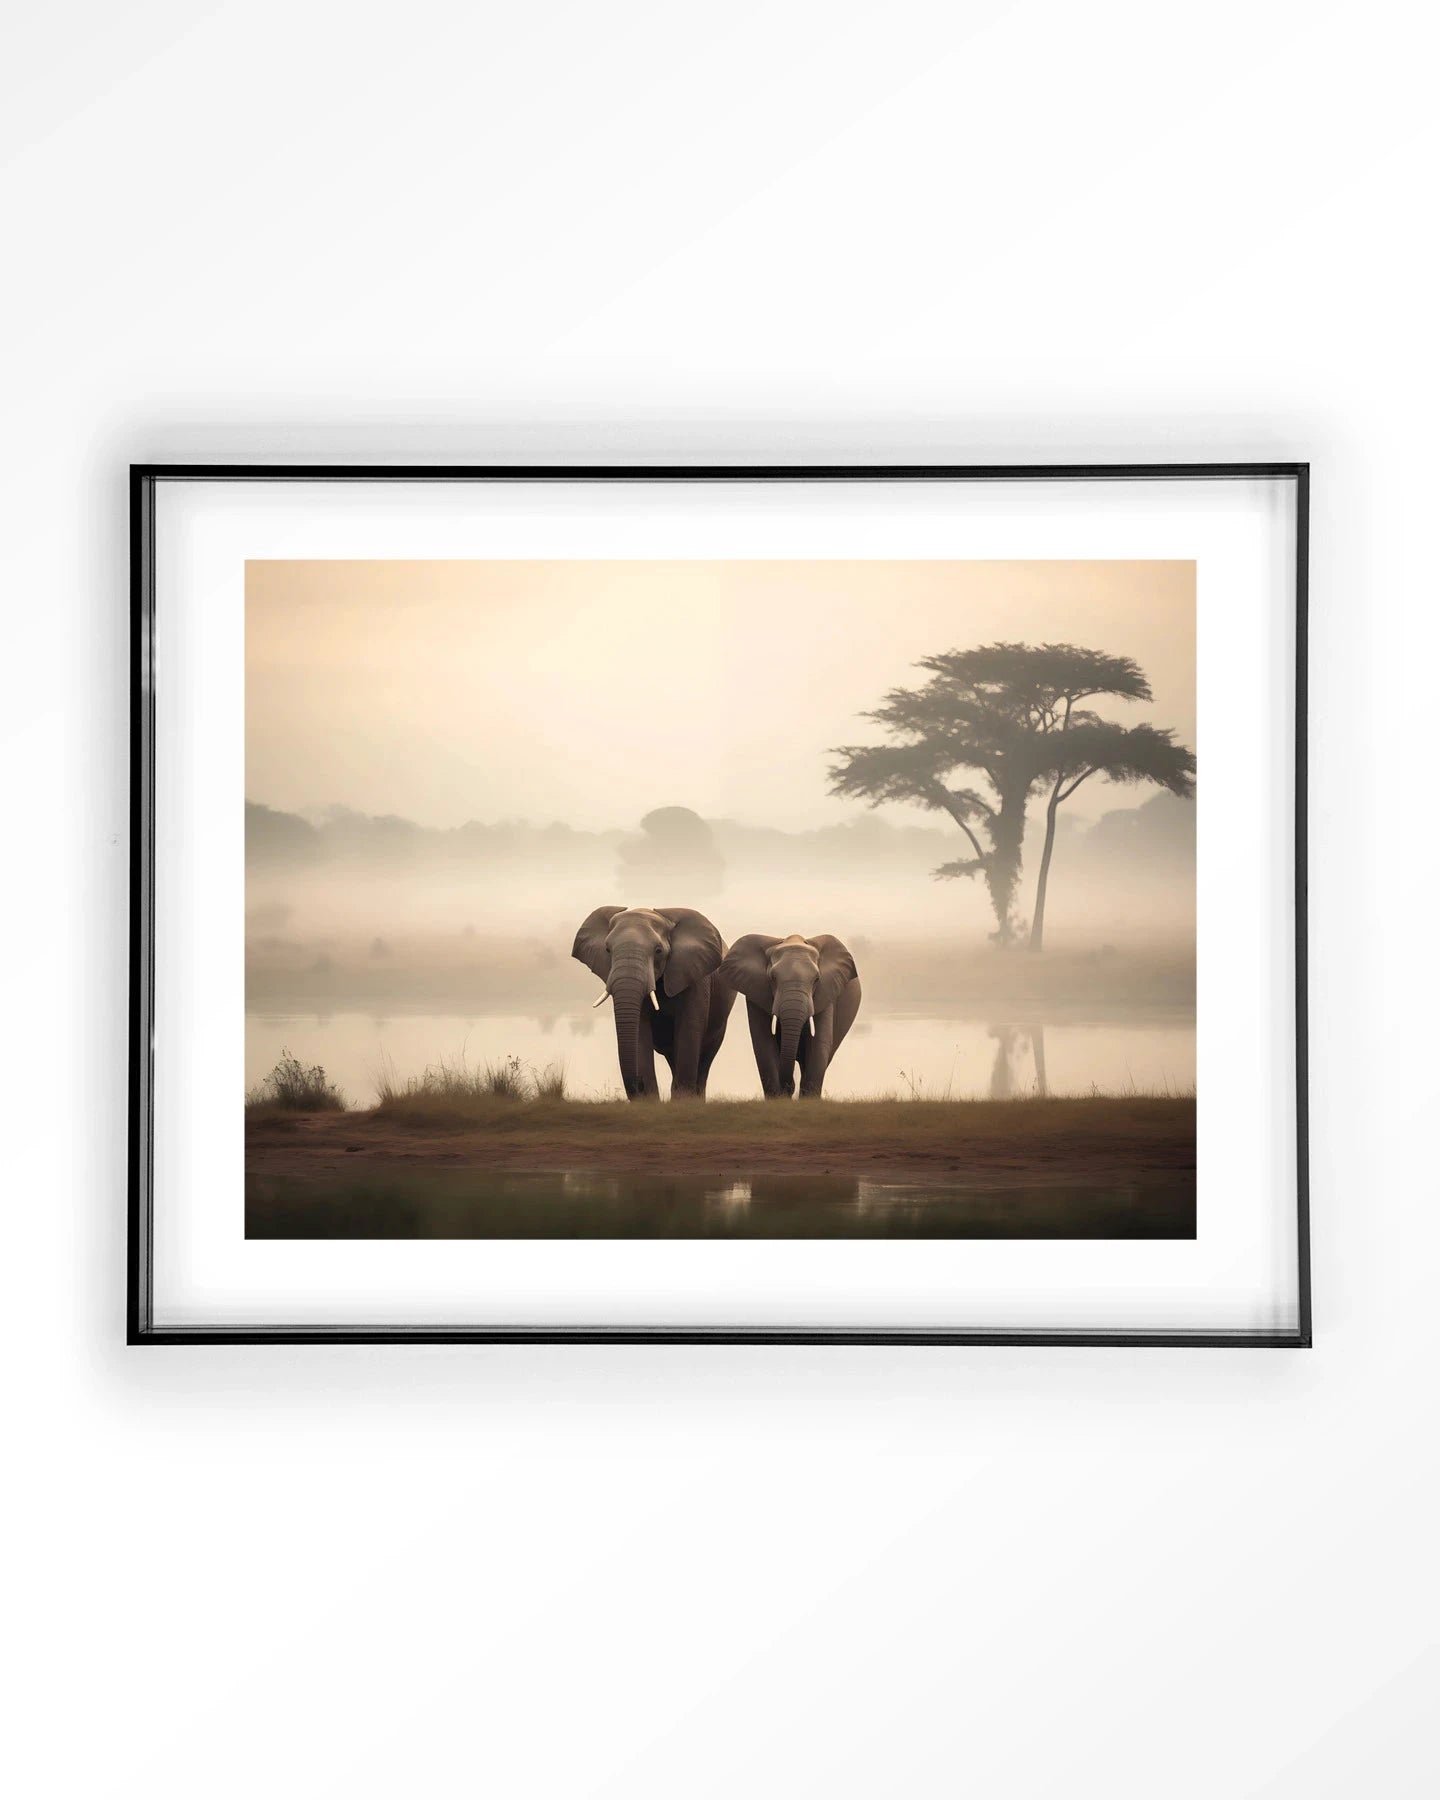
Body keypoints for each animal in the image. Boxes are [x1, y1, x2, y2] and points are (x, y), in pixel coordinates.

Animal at [572, 905, 736, 1100]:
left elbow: (688, 1032)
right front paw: (649, 1100)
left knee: (704, 1061)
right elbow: (640, 1033)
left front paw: (682, 1101)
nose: (639, 1085)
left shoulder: (695, 978)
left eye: (658, 951)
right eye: (607, 949)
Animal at [718, 933, 861, 1099]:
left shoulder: (826, 991)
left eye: (816, 979)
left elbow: (819, 1044)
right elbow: (763, 1044)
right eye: (772, 978)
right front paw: (778, 1098)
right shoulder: (755, 992)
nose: (788, 1087)